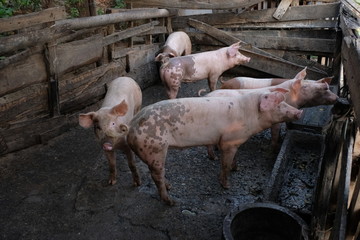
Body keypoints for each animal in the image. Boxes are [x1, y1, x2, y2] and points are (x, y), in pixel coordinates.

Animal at [128, 88, 302, 204]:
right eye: (280, 105)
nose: (299, 112)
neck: (249, 114)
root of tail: (132, 126)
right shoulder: (228, 141)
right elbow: (224, 164)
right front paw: (227, 186)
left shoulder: (235, 141)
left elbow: (234, 158)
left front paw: (237, 168)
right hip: (154, 148)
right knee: (156, 175)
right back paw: (171, 201)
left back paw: (169, 187)